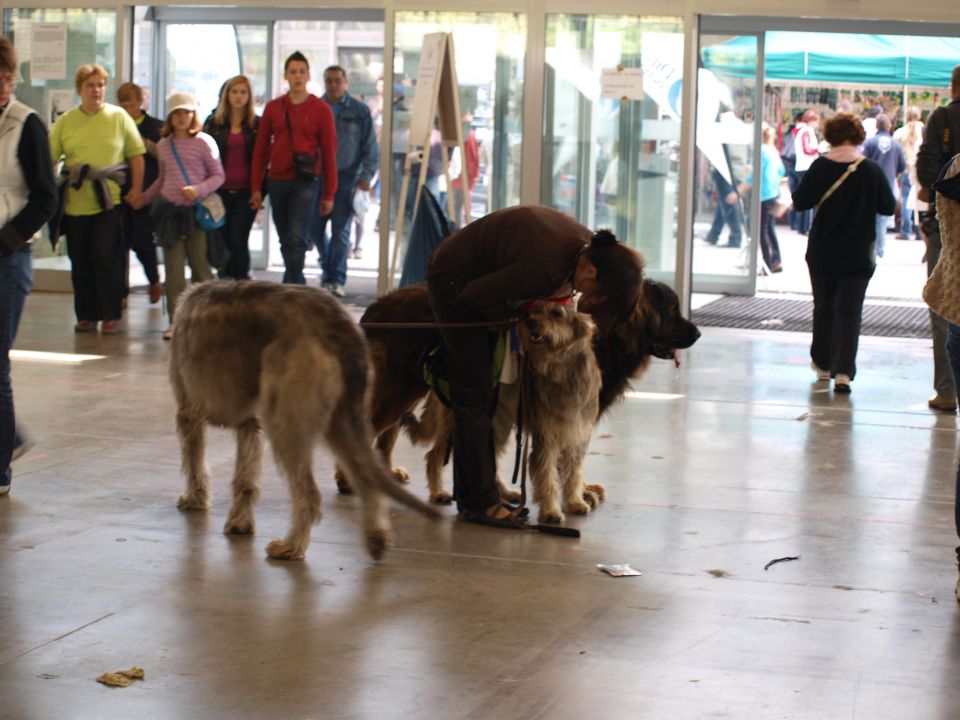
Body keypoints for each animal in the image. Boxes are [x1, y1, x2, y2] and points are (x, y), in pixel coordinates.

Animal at [171, 278, 440, 560]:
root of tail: (337, 324)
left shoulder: (189, 413)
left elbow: (194, 462)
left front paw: (195, 498)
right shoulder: (249, 425)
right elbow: (245, 479)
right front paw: (240, 523)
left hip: (289, 423)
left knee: (310, 493)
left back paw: (291, 546)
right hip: (346, 417)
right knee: (364, 474)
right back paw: (376, 537)